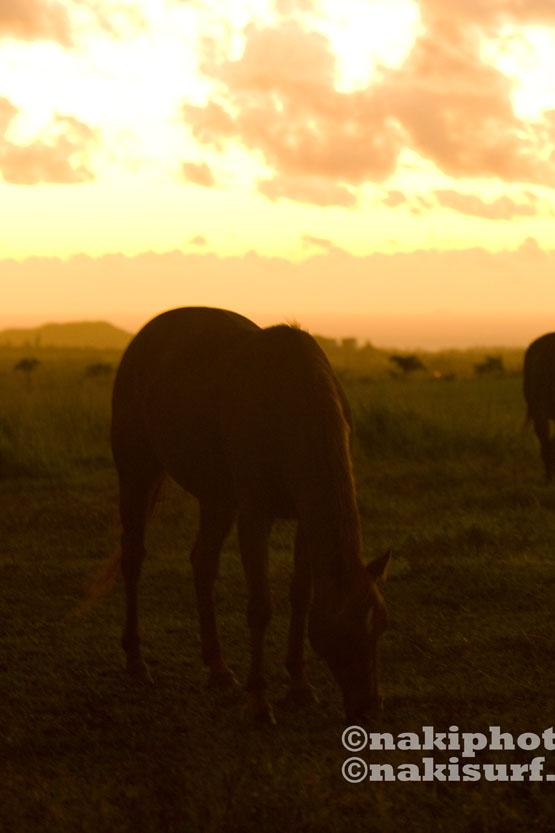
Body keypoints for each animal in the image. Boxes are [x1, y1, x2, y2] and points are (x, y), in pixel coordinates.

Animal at [109, 308, 390, 720]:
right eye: (344, 630)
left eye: (381, 625)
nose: (368, 706)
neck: (290, 403)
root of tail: (145, 335)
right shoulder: (255, 516)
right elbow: (260, 606)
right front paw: (258, 700)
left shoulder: (305, 519)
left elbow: (300, 594)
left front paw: (299, 685)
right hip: (137, 473)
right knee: (133, 558)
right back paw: (136, 661)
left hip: (217, 498)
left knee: (203, 562)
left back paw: (218, 669)